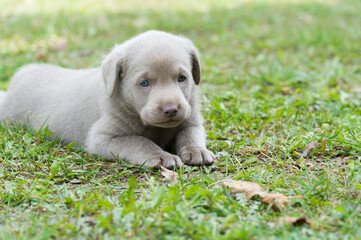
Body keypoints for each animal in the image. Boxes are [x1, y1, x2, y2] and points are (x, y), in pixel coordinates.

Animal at [0, 30, 214, 169]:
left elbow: (191, 133)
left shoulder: (191, 119)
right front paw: (160, 155)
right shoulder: (101, 138)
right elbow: (138, 141)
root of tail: (22, 73)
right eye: (144, 83)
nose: (171, 109)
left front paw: (197, 151)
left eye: (182, 78)